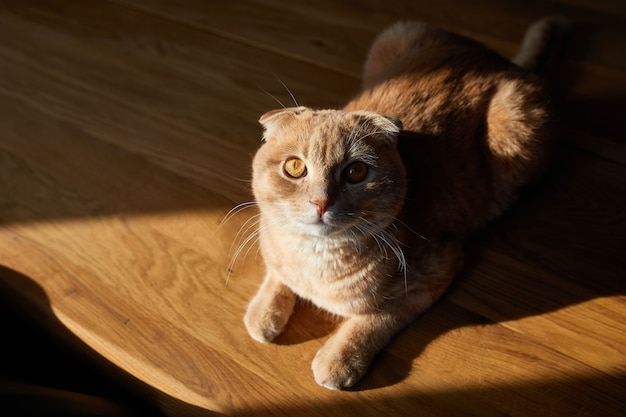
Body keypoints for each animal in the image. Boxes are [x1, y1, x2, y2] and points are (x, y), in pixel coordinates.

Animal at [240, 17, 572, 388]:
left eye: (355, 172)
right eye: (295, 168)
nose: (321, 202)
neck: (316, 260)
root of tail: (501, 63)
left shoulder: (435, 273)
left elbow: (376, 318)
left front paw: (339, 359)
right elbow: (276, 275)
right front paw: (263, 313)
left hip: (520, 135)